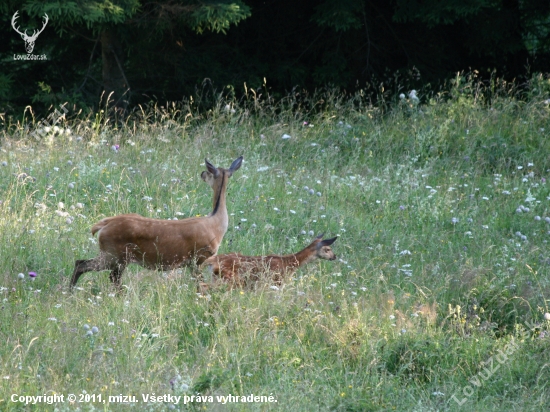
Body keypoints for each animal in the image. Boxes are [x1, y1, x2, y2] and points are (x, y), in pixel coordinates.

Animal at [71, 156, 244, 288]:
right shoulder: (198, 258)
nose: (202, 173)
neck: (215, 224)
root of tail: (102, 226)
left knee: (105, 274)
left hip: (116, 256)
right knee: (83, 265)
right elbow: (200, 284)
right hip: (113, 253)